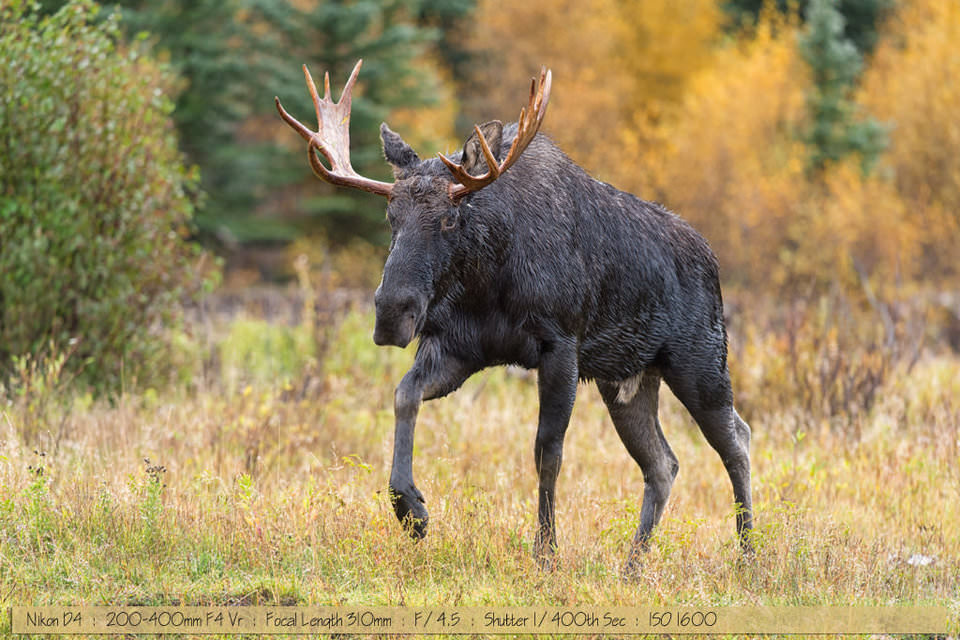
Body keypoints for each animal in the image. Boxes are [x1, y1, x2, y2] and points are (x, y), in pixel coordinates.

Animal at [274, 60, 752, 568]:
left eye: (450, 217)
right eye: (391, 216)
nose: (391, 312)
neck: (489, 280)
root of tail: (713, 260)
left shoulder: (560, 346)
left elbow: (547, 451)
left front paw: (547, 552)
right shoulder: (460, 347)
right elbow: (404, 395)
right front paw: (411, 510)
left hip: (699, 361)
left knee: (736, 441)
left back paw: (748, 555)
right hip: (627, 380)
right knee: (663, 464)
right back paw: (632, 566)